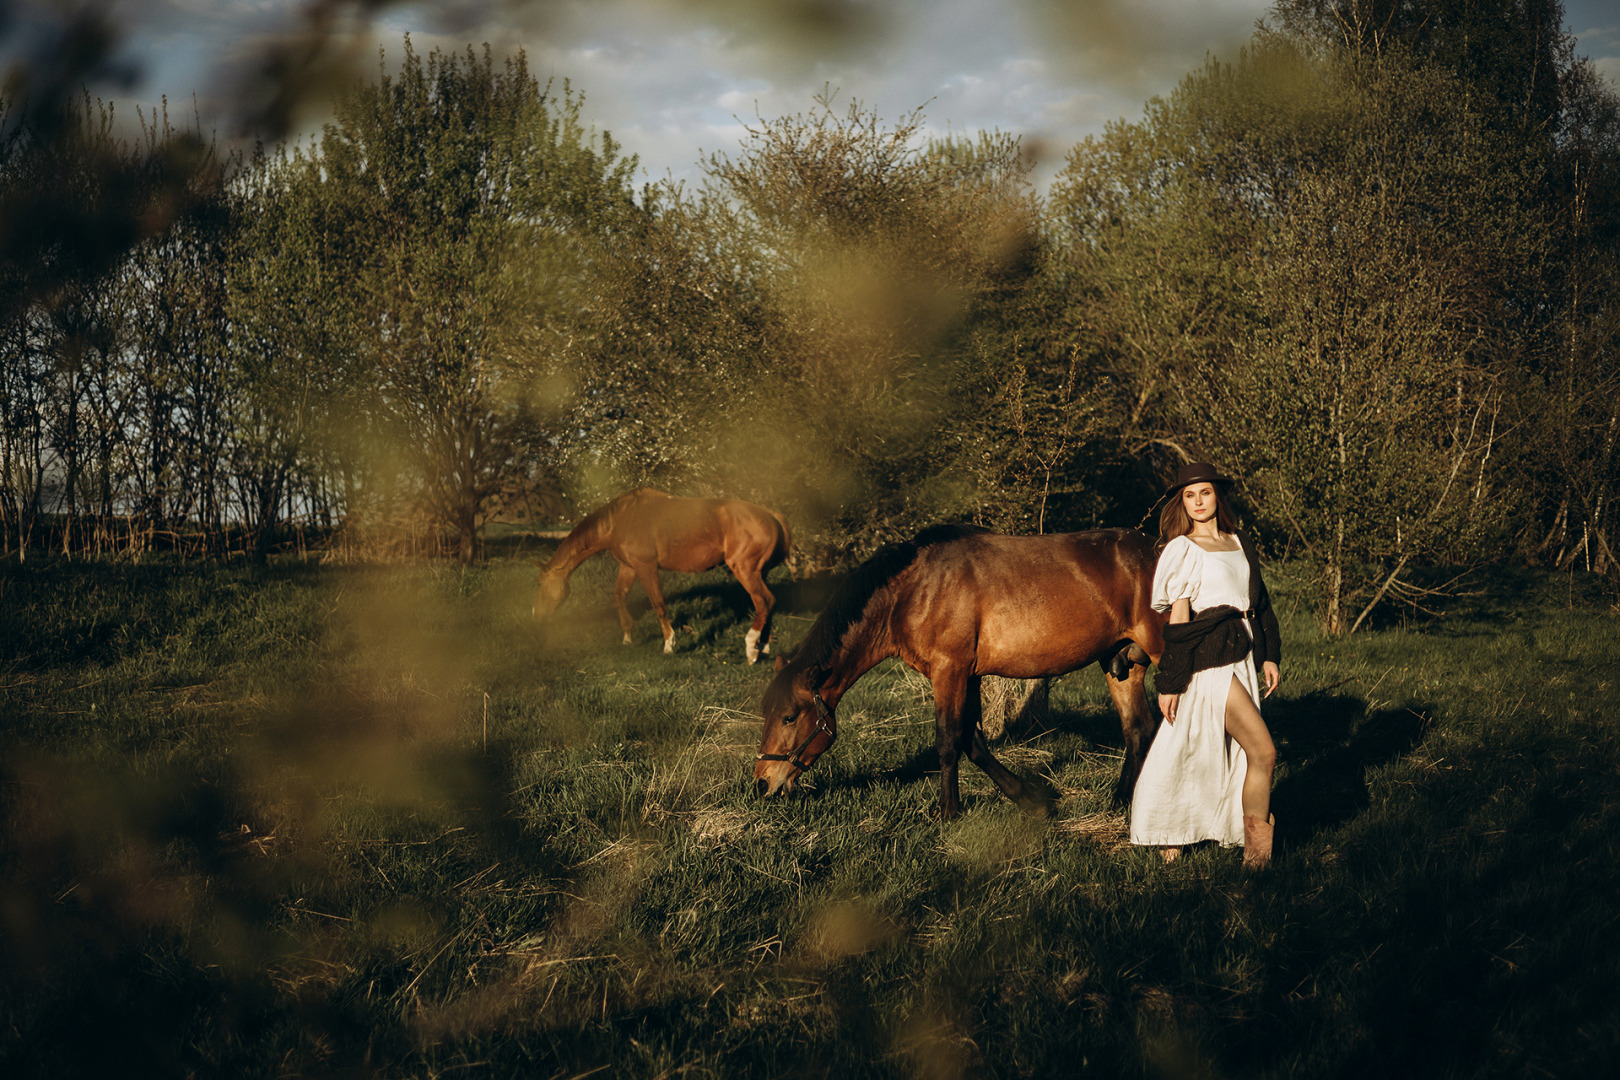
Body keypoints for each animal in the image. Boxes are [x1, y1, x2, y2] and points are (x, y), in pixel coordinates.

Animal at [537, 488, 790, 660]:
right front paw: (627, 637)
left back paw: (750, 648)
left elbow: (658, 603)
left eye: (540, 585)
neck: (622, 518)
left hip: (746, 571)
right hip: (760, 573)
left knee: (764, 602)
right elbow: (619, 596)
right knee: (769, 603)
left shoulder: (646, 567)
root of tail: (772, 515)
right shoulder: (629, 566)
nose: (537, 616)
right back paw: (763, 648)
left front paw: (669, 644)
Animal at [754, 524, 1166, 819]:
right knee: (1137, 729)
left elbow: (949, 740)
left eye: (789, 716)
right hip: (1121, 665)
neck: (915, 590)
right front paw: (1031, 799)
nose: (762, 783)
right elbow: (973, 740)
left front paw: (948, 812)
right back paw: (1120, 801)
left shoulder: (949, 670)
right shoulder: (968, 675)